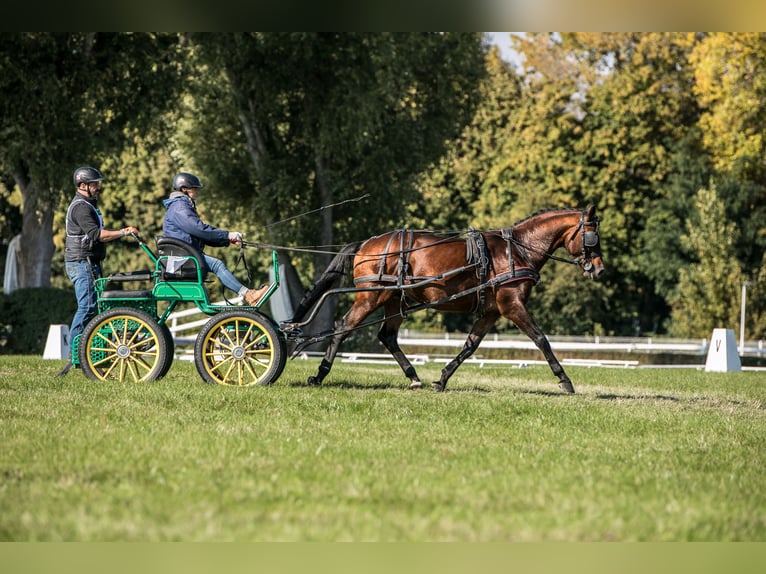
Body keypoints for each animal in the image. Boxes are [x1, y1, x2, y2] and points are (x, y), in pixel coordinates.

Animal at [286, 205, 605, 393]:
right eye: (592, 237)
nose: (600, 268)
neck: (517, 251)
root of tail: (366, 244)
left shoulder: (490, 311)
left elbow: (470, 346)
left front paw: (441, 379)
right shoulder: (512, 305)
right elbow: (541, 339)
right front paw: (565, 380)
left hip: (393, 300)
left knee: (387, 336)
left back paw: (413, 376)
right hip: (370, 297)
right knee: (343, 328)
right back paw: (320, 375)